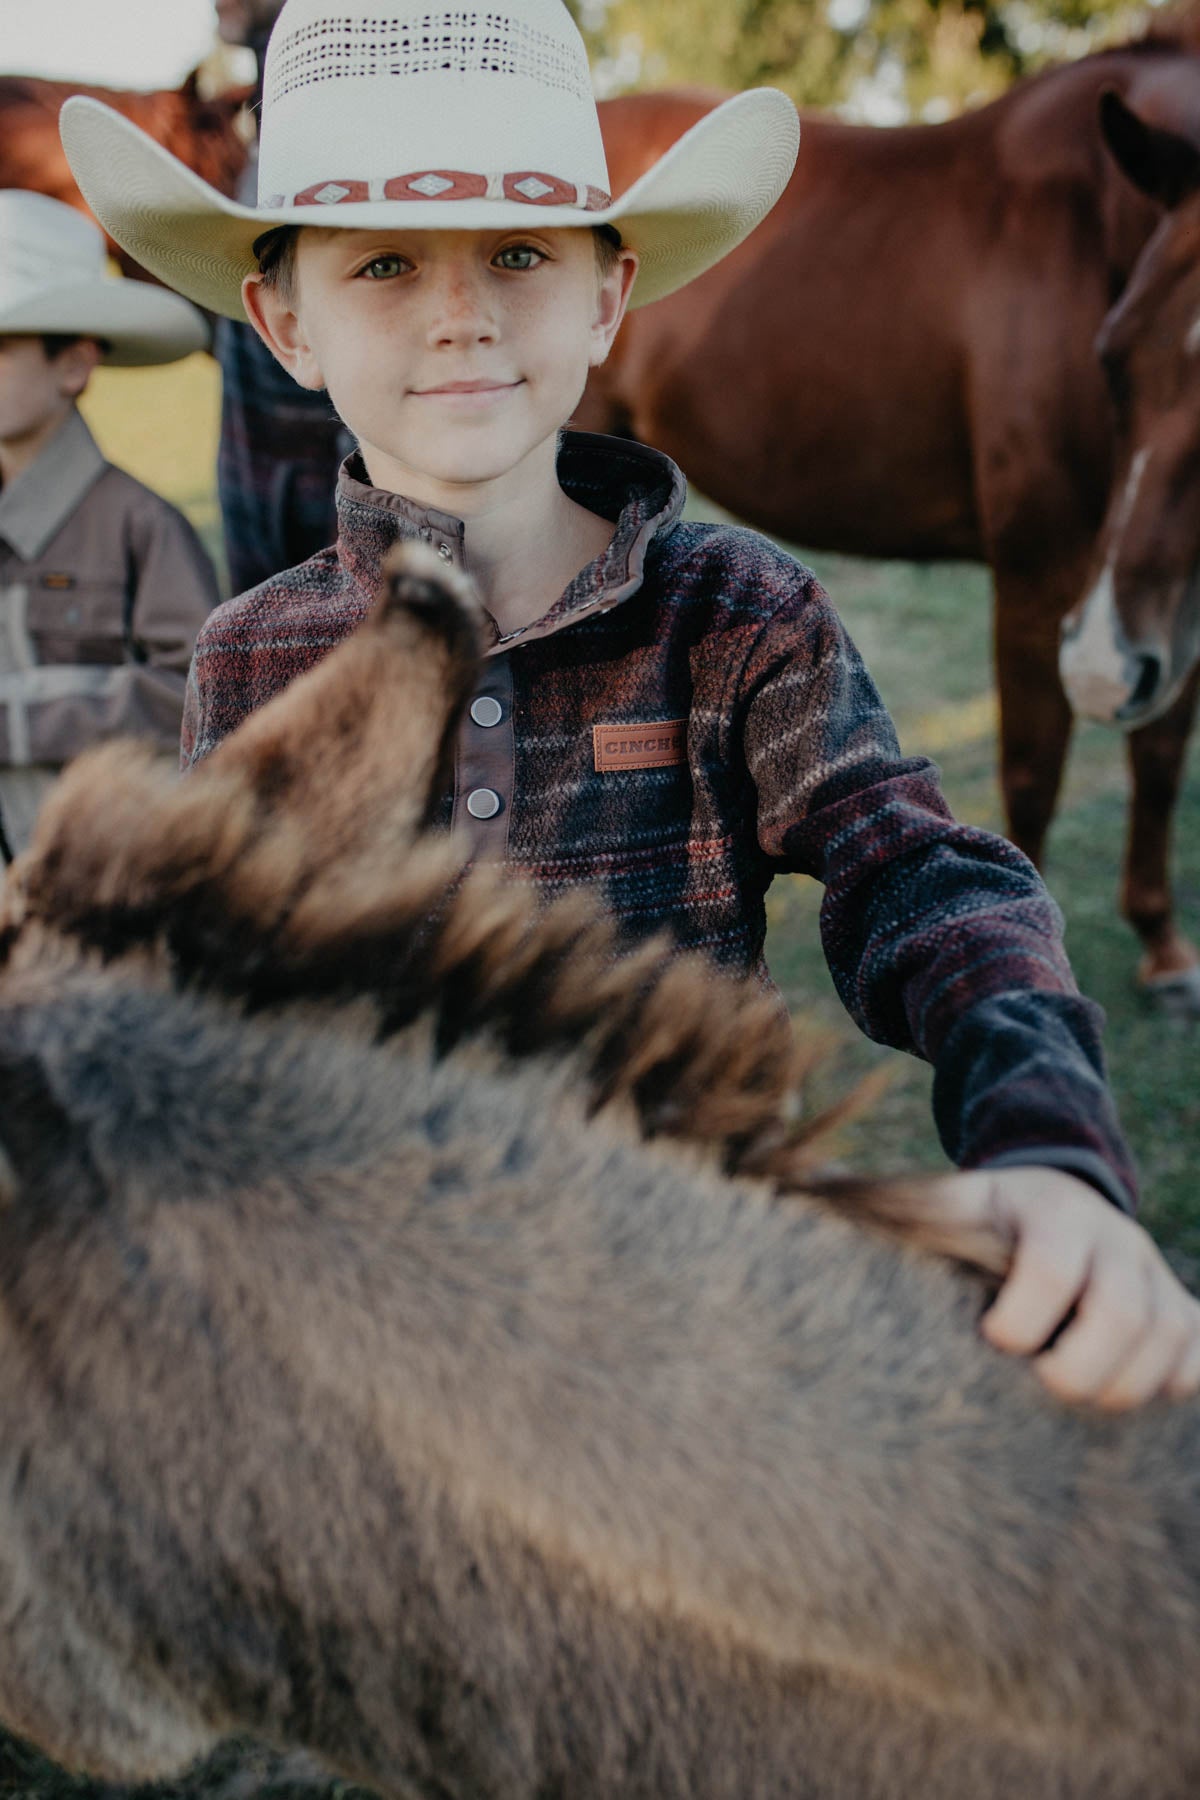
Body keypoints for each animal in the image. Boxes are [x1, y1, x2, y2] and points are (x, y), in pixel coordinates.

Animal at [582, 35, 1200, 1015]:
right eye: (1113, 356)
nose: (1104, 669)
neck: (1093, 226)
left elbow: (1164, 752)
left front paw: (1165, 946)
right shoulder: (1043, 572)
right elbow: (1033, 769)